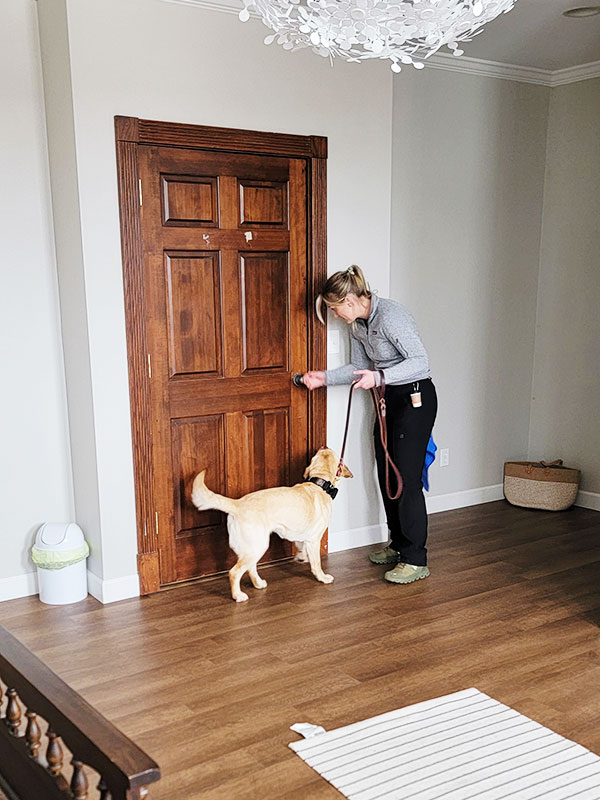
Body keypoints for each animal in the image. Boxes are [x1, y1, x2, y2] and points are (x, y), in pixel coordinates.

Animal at [191, 450, 352, 600]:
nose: (324, 445)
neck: (319, 484)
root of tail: (237, 503)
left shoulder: (301, 537)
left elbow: (300, 546)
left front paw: (301, 557)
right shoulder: (314, 540)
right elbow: (316, 563)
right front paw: (322, 577)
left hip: (253, 548)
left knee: (250, 568)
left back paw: (258, 584)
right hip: (258, 546)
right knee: (234, 572)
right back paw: (238, 596)